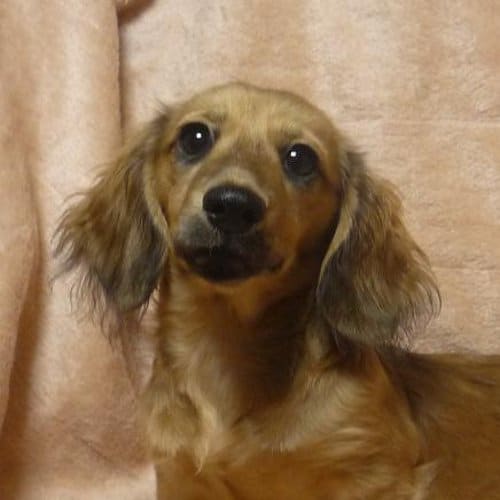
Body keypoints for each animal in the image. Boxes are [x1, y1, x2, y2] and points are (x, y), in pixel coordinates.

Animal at [56, 82, 500, 499]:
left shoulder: (378, 477)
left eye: (300, 157)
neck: (225, 353)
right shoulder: (182, 477)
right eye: (194, 137)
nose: (232, 205)